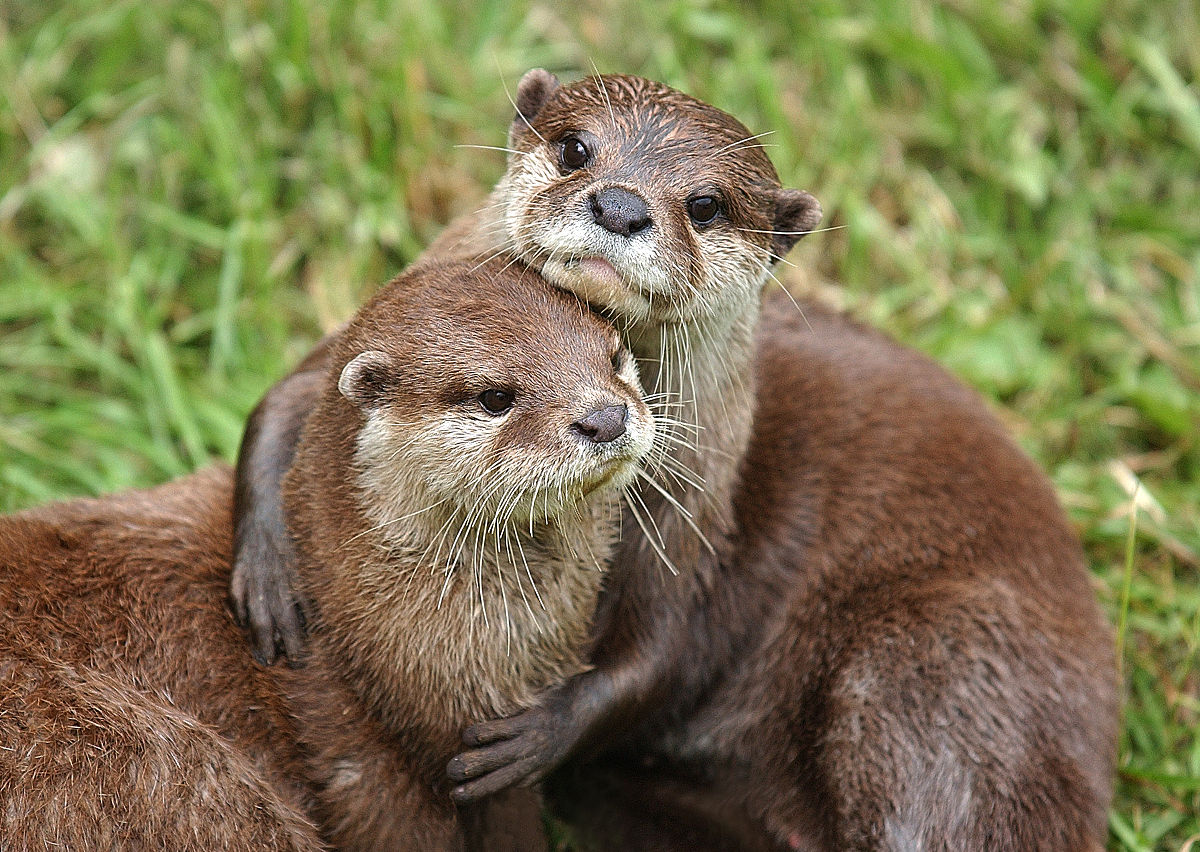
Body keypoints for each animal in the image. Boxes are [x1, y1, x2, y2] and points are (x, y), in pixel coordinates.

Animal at [226, 70, 1113, 849]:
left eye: (707, 205)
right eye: (576, 149)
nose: (619, 205)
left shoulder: (690, 509)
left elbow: (663, 650)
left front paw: (539, 733)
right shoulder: (355, 342)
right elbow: (282, 400)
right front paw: (269, 570)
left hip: (935, 673)